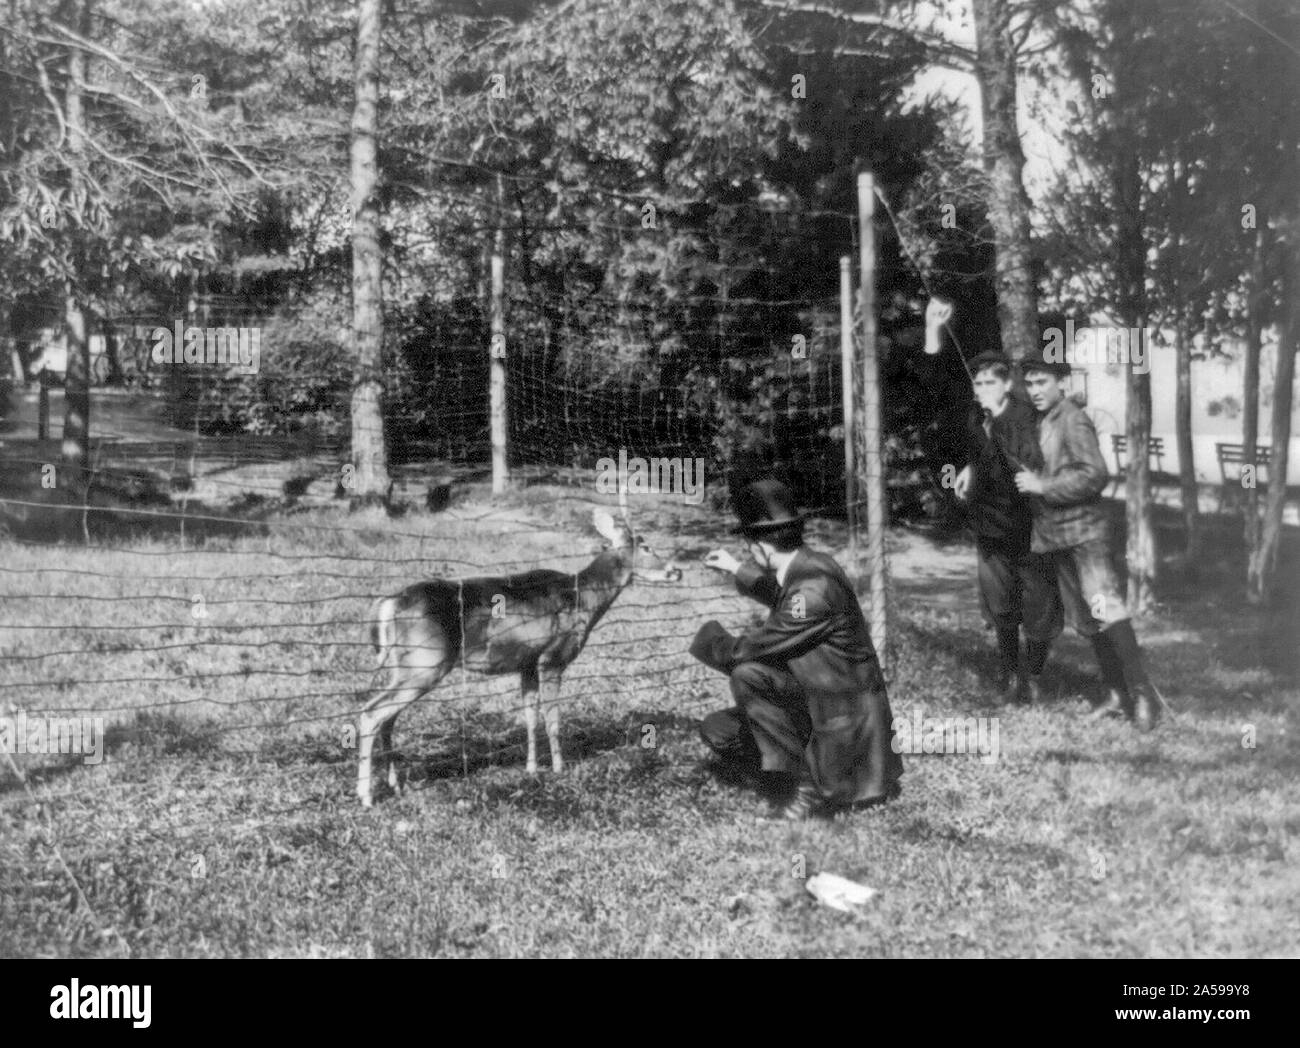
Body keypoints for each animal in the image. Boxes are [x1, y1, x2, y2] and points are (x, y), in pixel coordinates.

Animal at [356, 509, 681, 811]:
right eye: (647, 546)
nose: (676, 571)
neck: (583, 598)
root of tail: (389, 603)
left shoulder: (527, 663)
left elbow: (530, 718)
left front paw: (531, 768)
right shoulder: (553, 657)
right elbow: (553, 718)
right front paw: (559, 768)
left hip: (405, 666)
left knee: (387, 717)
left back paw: (395, 785)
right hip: (425, 662)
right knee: (371, 712)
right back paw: (366, 795)